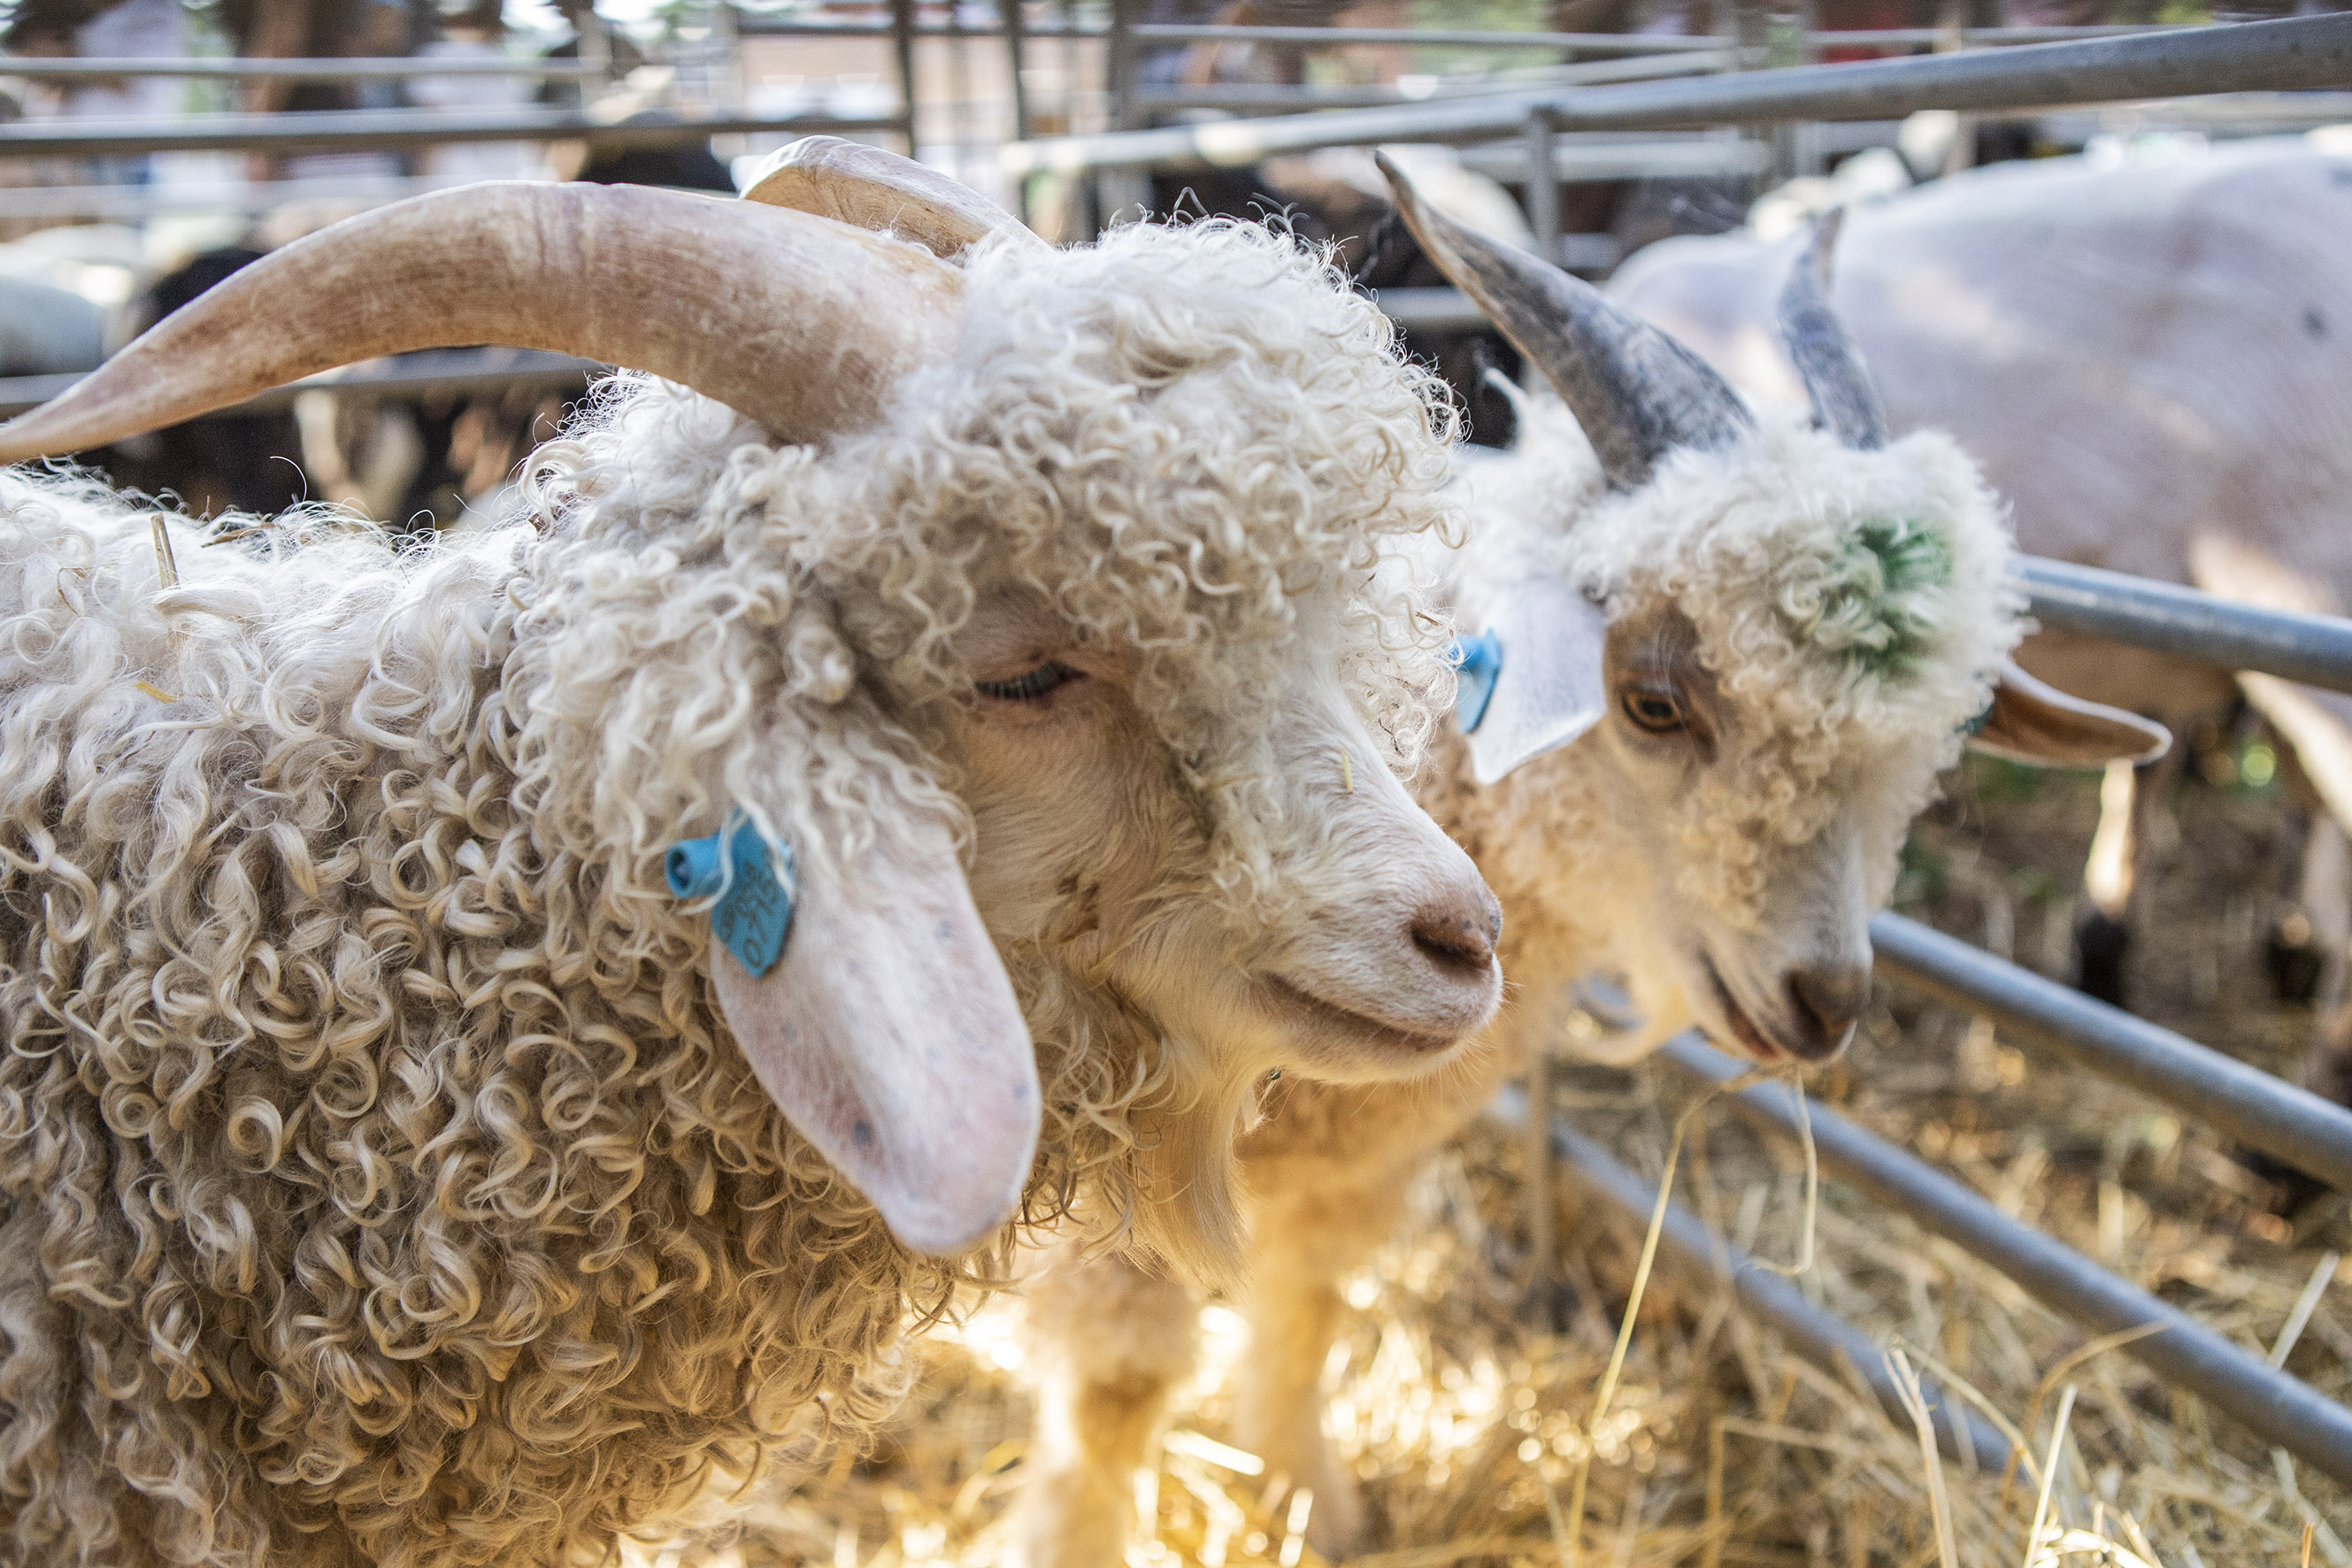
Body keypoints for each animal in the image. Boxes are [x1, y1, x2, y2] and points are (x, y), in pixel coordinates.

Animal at [1011, 165, 2164, 1561]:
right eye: (1654, 704)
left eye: (1938, 738)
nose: (1824, 1000)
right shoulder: (1109, 1175)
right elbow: (1116, 1392)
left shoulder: (1354, 1168)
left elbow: (1307, 1317)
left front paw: (1311, 1504)